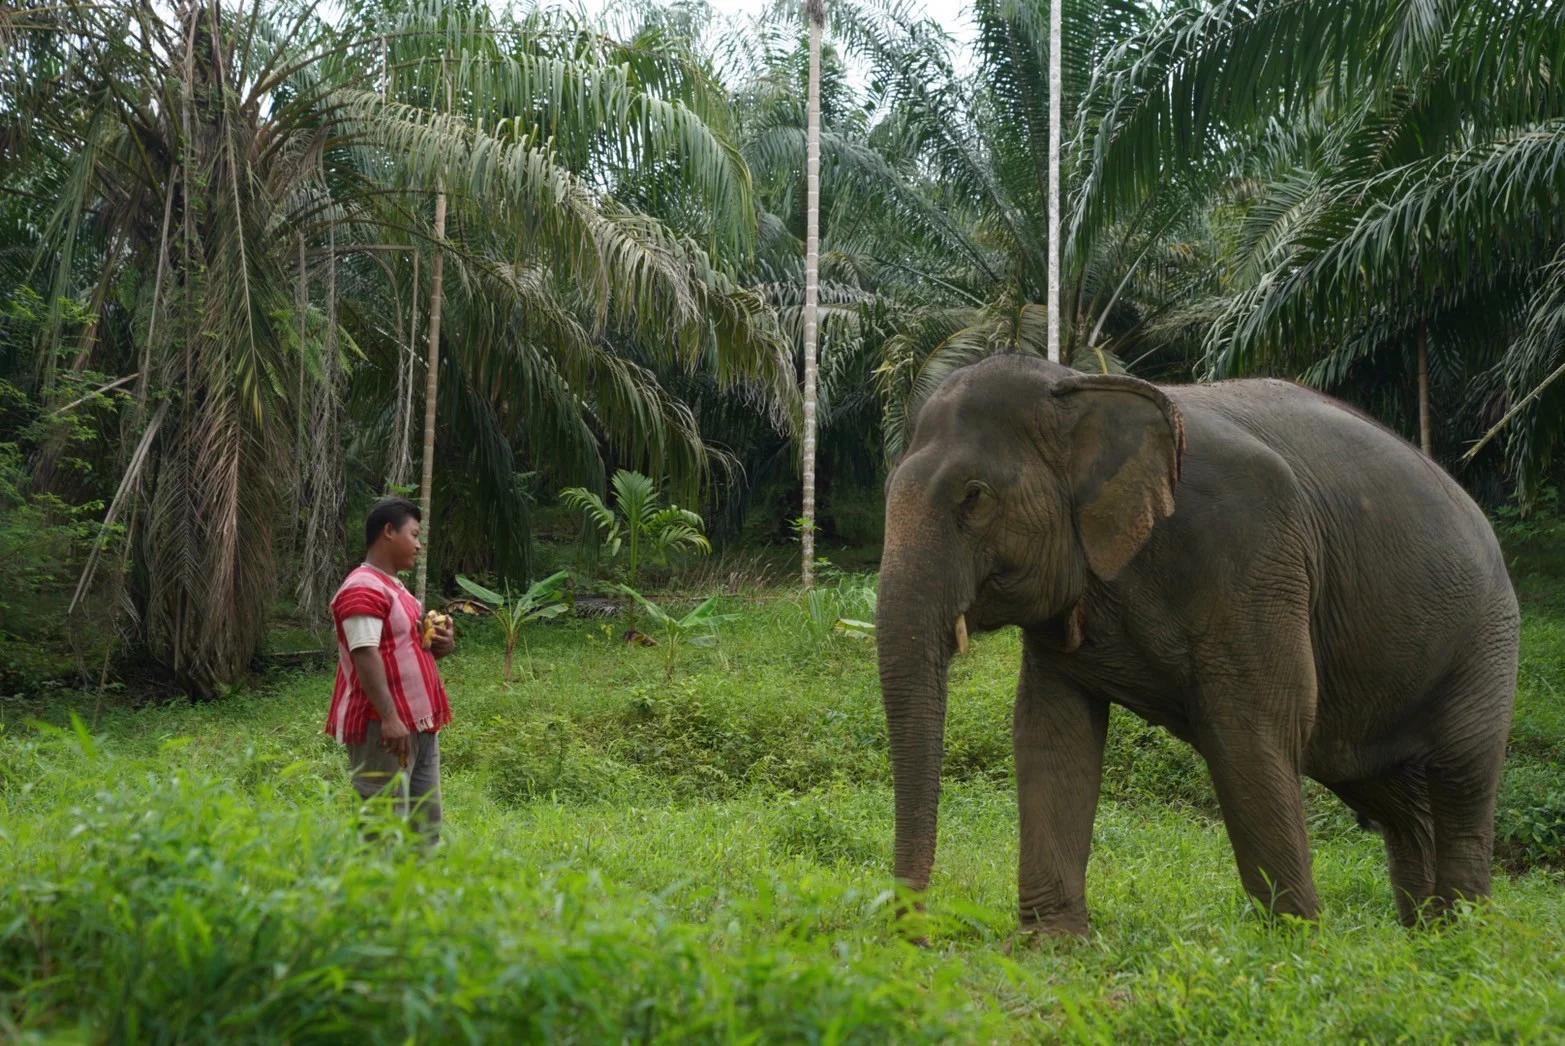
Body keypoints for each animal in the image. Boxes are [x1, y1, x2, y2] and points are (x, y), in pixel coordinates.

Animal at [876, 354, 1519, 936]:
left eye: (974, 496)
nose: (916, 935)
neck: (1078, 382)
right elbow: (1051, 730)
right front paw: (1053, 947)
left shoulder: (1252, 550)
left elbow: (1253, 728)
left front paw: (1298, 949)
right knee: (1398, 803)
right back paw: (1425, 940)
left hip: (1487, 642)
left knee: (1461, 781)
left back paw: (1462, 943)